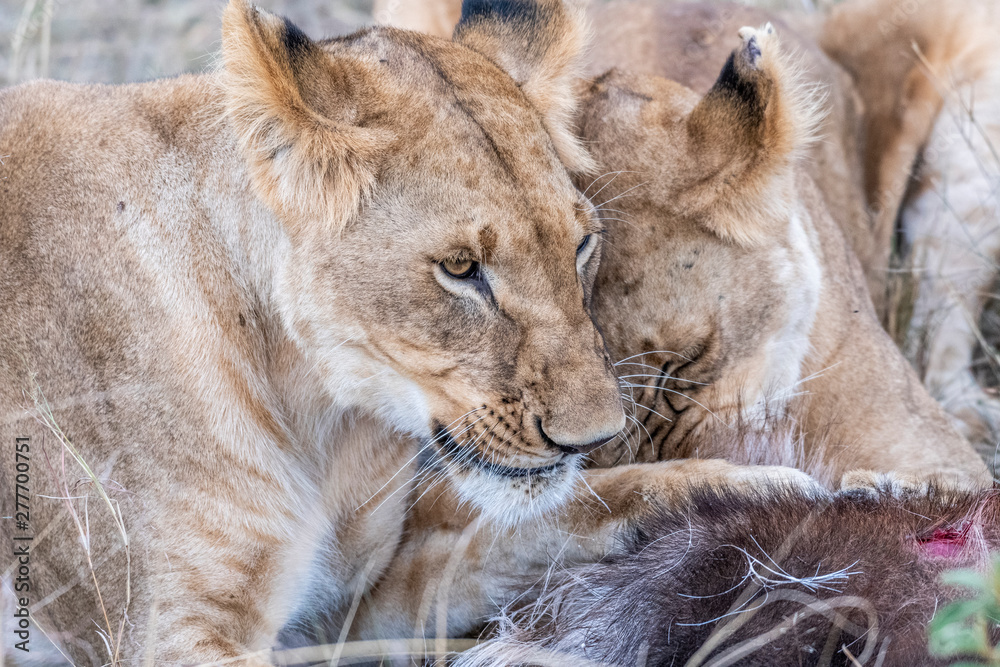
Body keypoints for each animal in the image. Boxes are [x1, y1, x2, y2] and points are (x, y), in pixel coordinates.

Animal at [0, 1, 824, 663]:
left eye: (582, 243)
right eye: (460, 268)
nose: (591, 436)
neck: (321, 420)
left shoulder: (356, 597)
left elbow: (564, 511)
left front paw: (757, 496)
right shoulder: (167, 634)